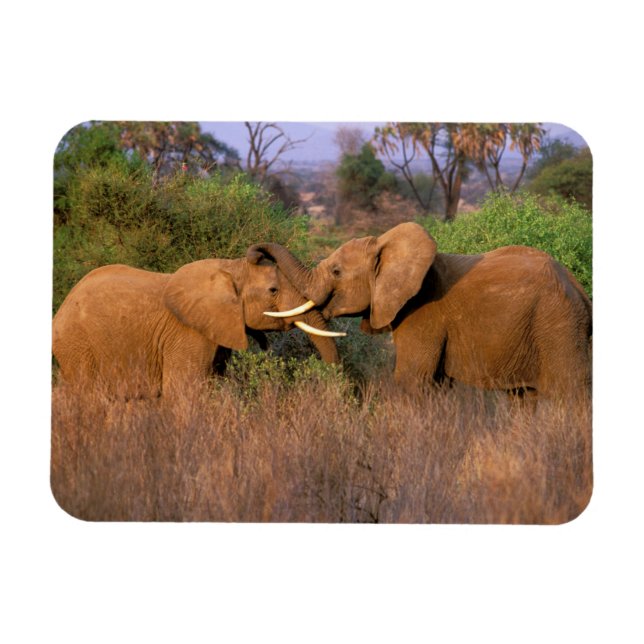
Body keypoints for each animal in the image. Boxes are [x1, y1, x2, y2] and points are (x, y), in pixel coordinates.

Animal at [52, 251, 343, 397]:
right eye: (273, 290)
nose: (258, 250)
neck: (230, 268)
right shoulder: (188, 332)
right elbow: (183, 390)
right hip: (77, 344)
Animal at [249, 222, 592, 398]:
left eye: (336, 271)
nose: (255, 255)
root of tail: (579, 290)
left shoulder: (423, 314)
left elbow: (411, 380)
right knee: (523, 397)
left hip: (558, 324)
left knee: (568, 394)